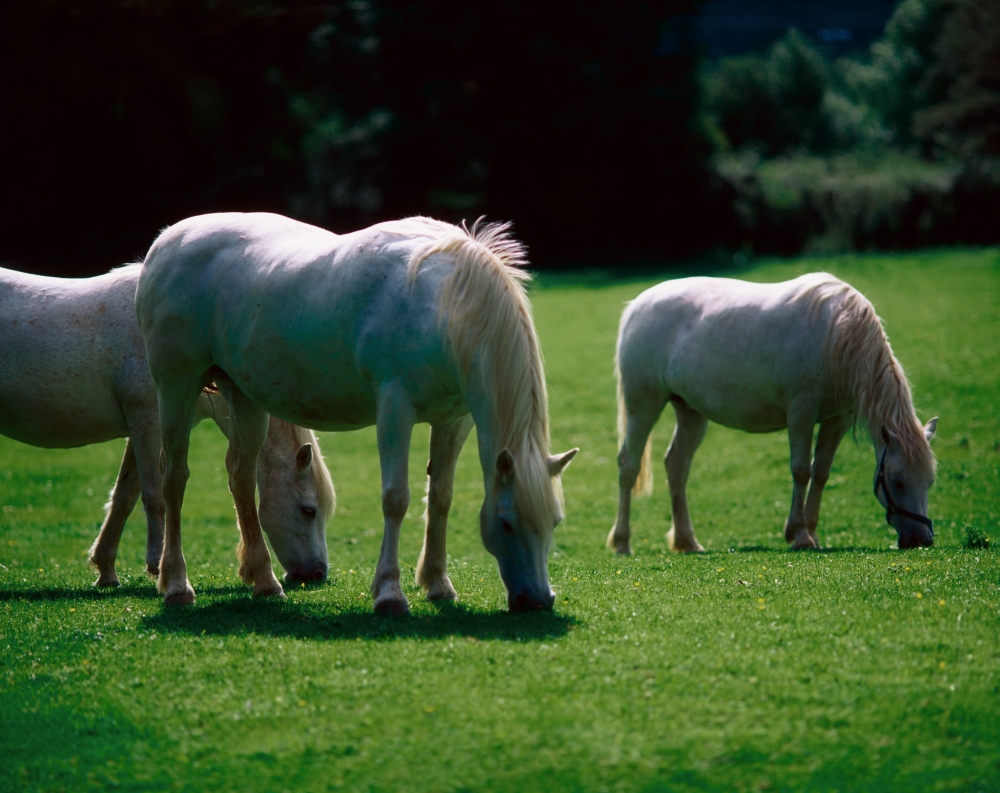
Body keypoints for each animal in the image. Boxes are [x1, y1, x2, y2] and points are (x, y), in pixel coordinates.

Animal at [0, 264, 334, 588]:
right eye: (308, 510)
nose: (318, 574)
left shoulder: (144, 430)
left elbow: (124, 496)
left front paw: (106, 569)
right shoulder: (146, 421)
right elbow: (153, 496)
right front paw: (157, 565)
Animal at [136, 213, 577, 612]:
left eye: (555, 521)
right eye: (506, 522)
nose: (538, 600)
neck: (443, 302)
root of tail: (165, 241)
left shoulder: (455, 420)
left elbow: (441, 496)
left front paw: (438, 584)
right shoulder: (395, 410)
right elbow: (396, 498)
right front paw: (390, 593)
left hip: (242, 396)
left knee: (241, 477)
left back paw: (264, 581)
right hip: (176, 387)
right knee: (174, 478)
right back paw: (176, 585)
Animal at [607, 272, 937, 554]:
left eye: (930, 481)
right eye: (897, 480)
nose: (920, 540)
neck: (837, 333)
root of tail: (636, 306)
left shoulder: (837, 420)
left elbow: (821, 472)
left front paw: (812, 532)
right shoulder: (801, 413)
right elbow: (801, 470)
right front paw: (799, 534)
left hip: (690, 412)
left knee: (676, 466)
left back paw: (688, 541)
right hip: (644, 405)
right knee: (628, 465)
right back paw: (622, 543)